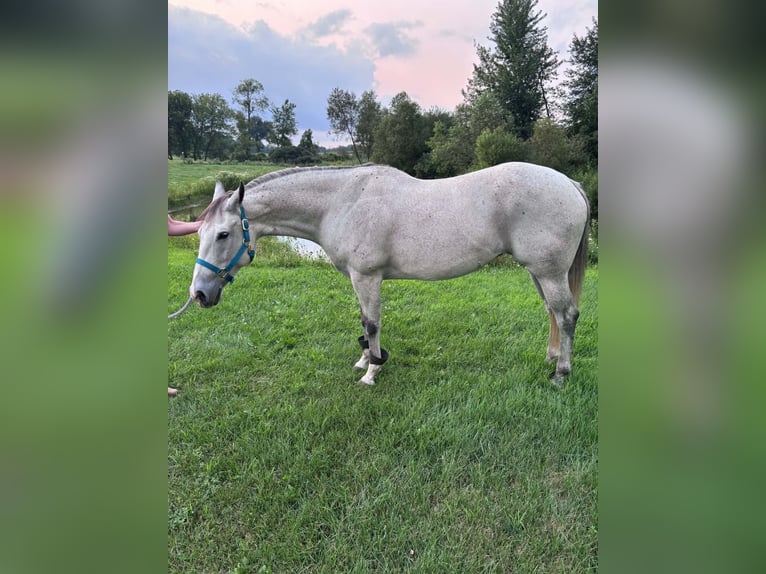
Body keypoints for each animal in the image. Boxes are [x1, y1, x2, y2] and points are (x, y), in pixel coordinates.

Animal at [191, 162, 590, 386]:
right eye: (198, 231)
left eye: (222, 235)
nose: (199, 294)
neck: (342, 202)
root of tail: (571, 184)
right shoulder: (357, 278)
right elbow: (363, 320)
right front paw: (364, 359)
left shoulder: (367, 276)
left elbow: (372, 323)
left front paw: (372, 371)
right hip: (539, 272)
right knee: (552, 313)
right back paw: (551, 358)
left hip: (550, 272)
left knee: (567, 315)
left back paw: (561, 373)